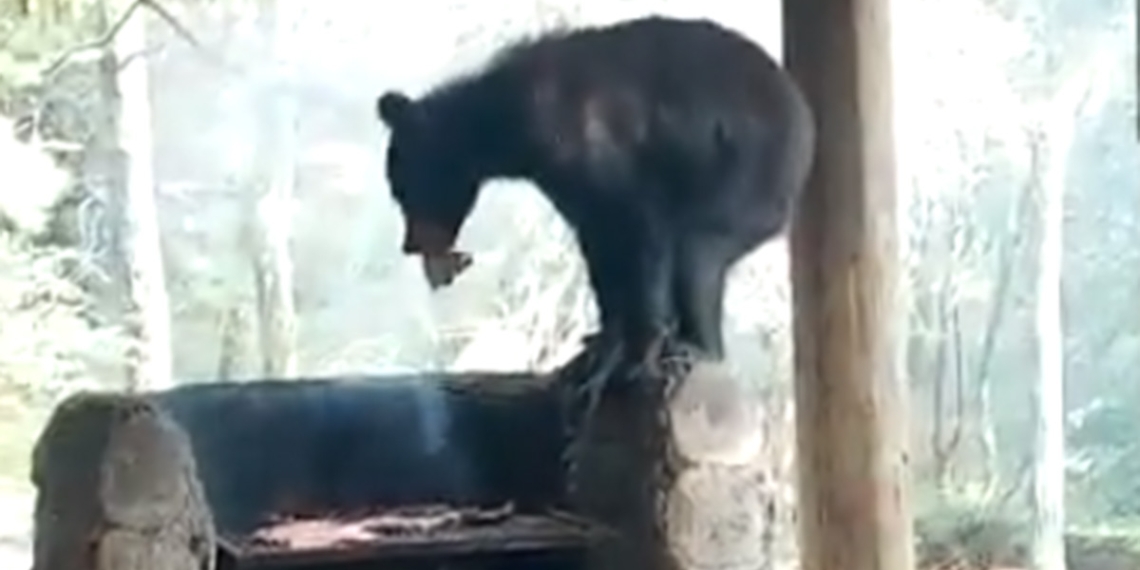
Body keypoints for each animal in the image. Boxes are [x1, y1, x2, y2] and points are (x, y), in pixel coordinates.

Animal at [375, 15, 815, 410]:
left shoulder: (597, 147)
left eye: (404, 191)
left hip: (743, 178)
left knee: (697, 252)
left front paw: (631, 358)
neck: (510, 126)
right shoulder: (566, 185)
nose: (409, 244)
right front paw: (600, 347)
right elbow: (601, 250)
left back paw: (694, 347)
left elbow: (641, 230)